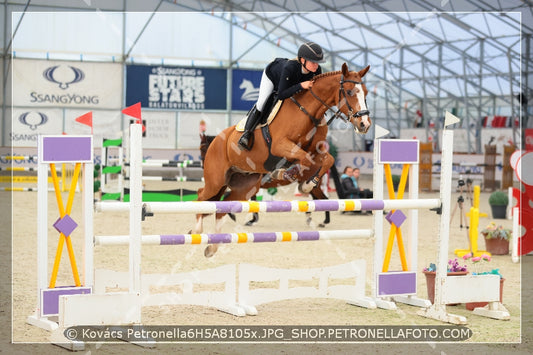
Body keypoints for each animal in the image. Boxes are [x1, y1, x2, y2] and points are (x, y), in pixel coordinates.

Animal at [195, 62, 370, 258]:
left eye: (365, 92)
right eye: (349, 91)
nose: (364, 124)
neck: (309, 112)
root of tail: (217, 141)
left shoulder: (315, 151)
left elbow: (327, 159)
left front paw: (305, 183)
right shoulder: (280, 146)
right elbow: (303, 159)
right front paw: (288, 174)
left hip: (244, 185)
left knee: (223, 206)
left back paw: (212, 247)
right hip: (216, 180)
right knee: (202, 194)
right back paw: (197, 231)